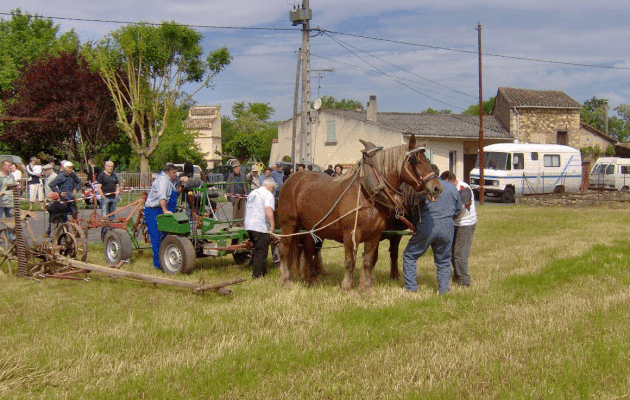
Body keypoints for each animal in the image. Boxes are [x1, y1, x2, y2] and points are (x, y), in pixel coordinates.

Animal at [278, 134, 442, 290]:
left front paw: (366, 287)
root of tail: (292, 179)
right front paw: (347, 286)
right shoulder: (351, 233)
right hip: (289, 225)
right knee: (285, 249)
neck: (368, 193)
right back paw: (286, 279)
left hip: (310, 227)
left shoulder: (375, 234)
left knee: (308, 249)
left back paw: (312, 279)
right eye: (417, 162)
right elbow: (350, 260)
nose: (437, 188)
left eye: (428, 160)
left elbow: (369, 260)